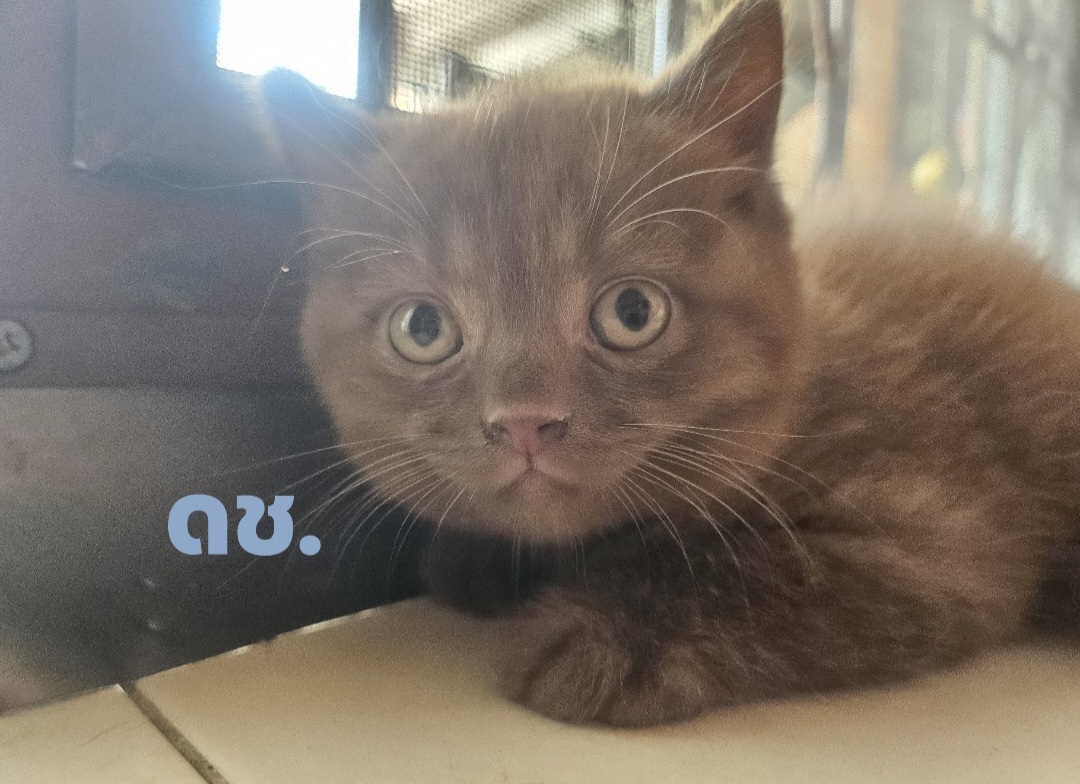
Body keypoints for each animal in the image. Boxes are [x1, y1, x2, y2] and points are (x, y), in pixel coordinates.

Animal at [261, 0, 1080, 726]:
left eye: (631, 313)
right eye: (423, 328)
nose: (525, 423)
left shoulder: (929, 530)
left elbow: (754, 565)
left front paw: (605, 633)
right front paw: (479, 560)